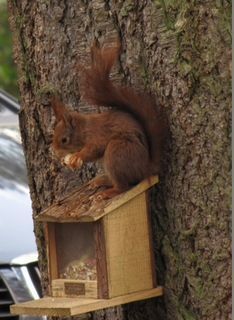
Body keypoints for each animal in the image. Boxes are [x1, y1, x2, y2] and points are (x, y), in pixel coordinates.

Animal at [52, 41, 167, 199]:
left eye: (64, 140)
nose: (56, 154)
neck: (84, 130)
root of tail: (145, 169)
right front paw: (66, 160)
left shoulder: (98, 135)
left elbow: (95, 148)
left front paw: (77, 156)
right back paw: (101, 181)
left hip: (117, 152)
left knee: (123, 187)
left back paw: (108, 192)